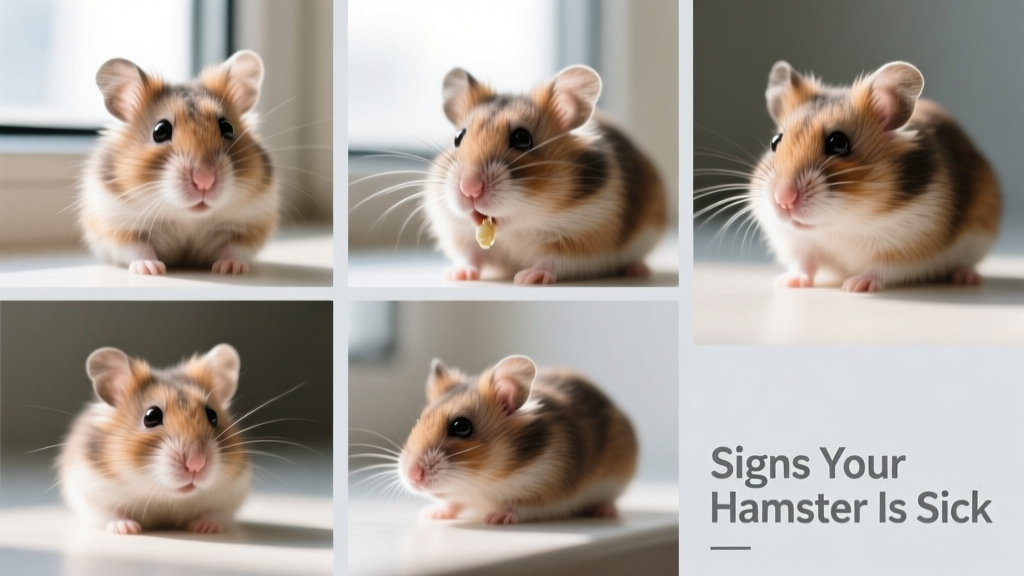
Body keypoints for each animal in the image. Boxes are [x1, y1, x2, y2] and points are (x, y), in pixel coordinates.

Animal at [57, 344, 251, 534]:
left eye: (213, 416)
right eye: (151, 416)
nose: (196, 464)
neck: (166, 497)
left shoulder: (231, 496)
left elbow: (213, 515)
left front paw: (204, 528)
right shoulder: (90, 490)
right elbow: (112, 514)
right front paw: (127, 529)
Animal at [79, 50, 278, 275]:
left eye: (228, 128)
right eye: (160, 130)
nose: (204, 180)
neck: (188, 217)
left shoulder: (250, 224)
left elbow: (234, 248)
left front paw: (229, 269)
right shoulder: (118, 225)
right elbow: (138, 248)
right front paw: (151, 270)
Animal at [399, 355, 637, 524]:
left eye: (461, 427)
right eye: (419, 420)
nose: (411, 475)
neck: (490, 481)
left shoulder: (552, 489)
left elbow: (521, 507)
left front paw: (494, 518)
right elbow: (453, 502)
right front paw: (430, 514)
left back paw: (603, 510)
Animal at [425, 66, 666, 284]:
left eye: (522, 139)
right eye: (458, 137)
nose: (469, 189)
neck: (519, 225)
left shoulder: (585, 236)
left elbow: (552, 260)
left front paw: (526, 278)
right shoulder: (461, 234)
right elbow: (471, 256)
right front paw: (456, 275)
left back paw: (637, 270)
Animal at [750, 61, 1001, 292]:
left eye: (838, 143)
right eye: (775, 141)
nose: (783, 199)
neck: (842, 224)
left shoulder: (907, 246)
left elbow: (880, 267)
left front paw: (854, 286)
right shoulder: (800, 243)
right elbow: (804, 262)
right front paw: (787, 282)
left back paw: (967, 278)